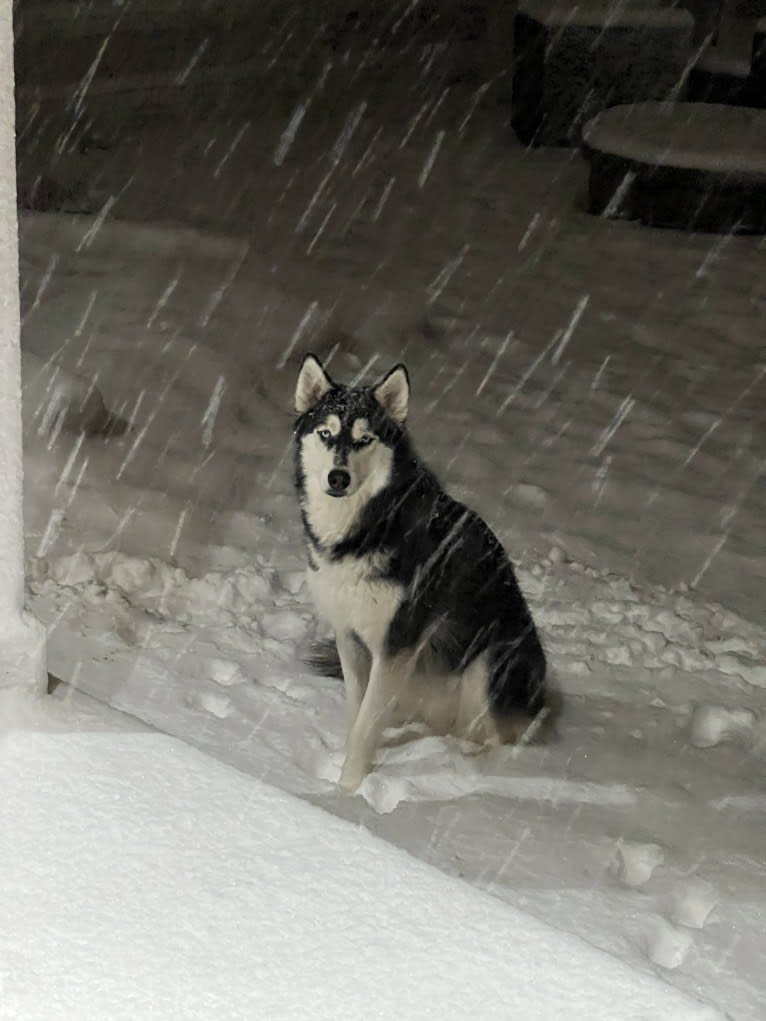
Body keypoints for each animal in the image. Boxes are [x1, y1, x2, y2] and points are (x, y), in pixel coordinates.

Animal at [294, 355, 551, 792]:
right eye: (326, 434)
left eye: (365, 439)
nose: (338, 478)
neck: (365, 526)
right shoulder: (348, 633)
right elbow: (358, 713)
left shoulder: (396, 642)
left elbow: (366, 726)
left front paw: (346, 792)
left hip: (489, 660)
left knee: (493, 740)